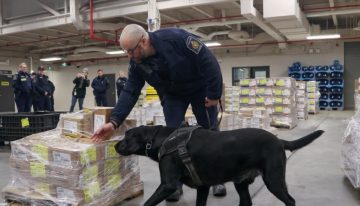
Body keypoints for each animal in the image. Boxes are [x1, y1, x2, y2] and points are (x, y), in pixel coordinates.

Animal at [115, 125, 324, 206]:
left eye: (125, 136)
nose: (115, 145)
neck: (162, 139)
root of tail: (278, 140)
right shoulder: (202, 187)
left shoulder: (167, 185)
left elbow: (147, 202)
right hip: (241, 183)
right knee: (246, 202)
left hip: (274, 180)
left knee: (290, 200)